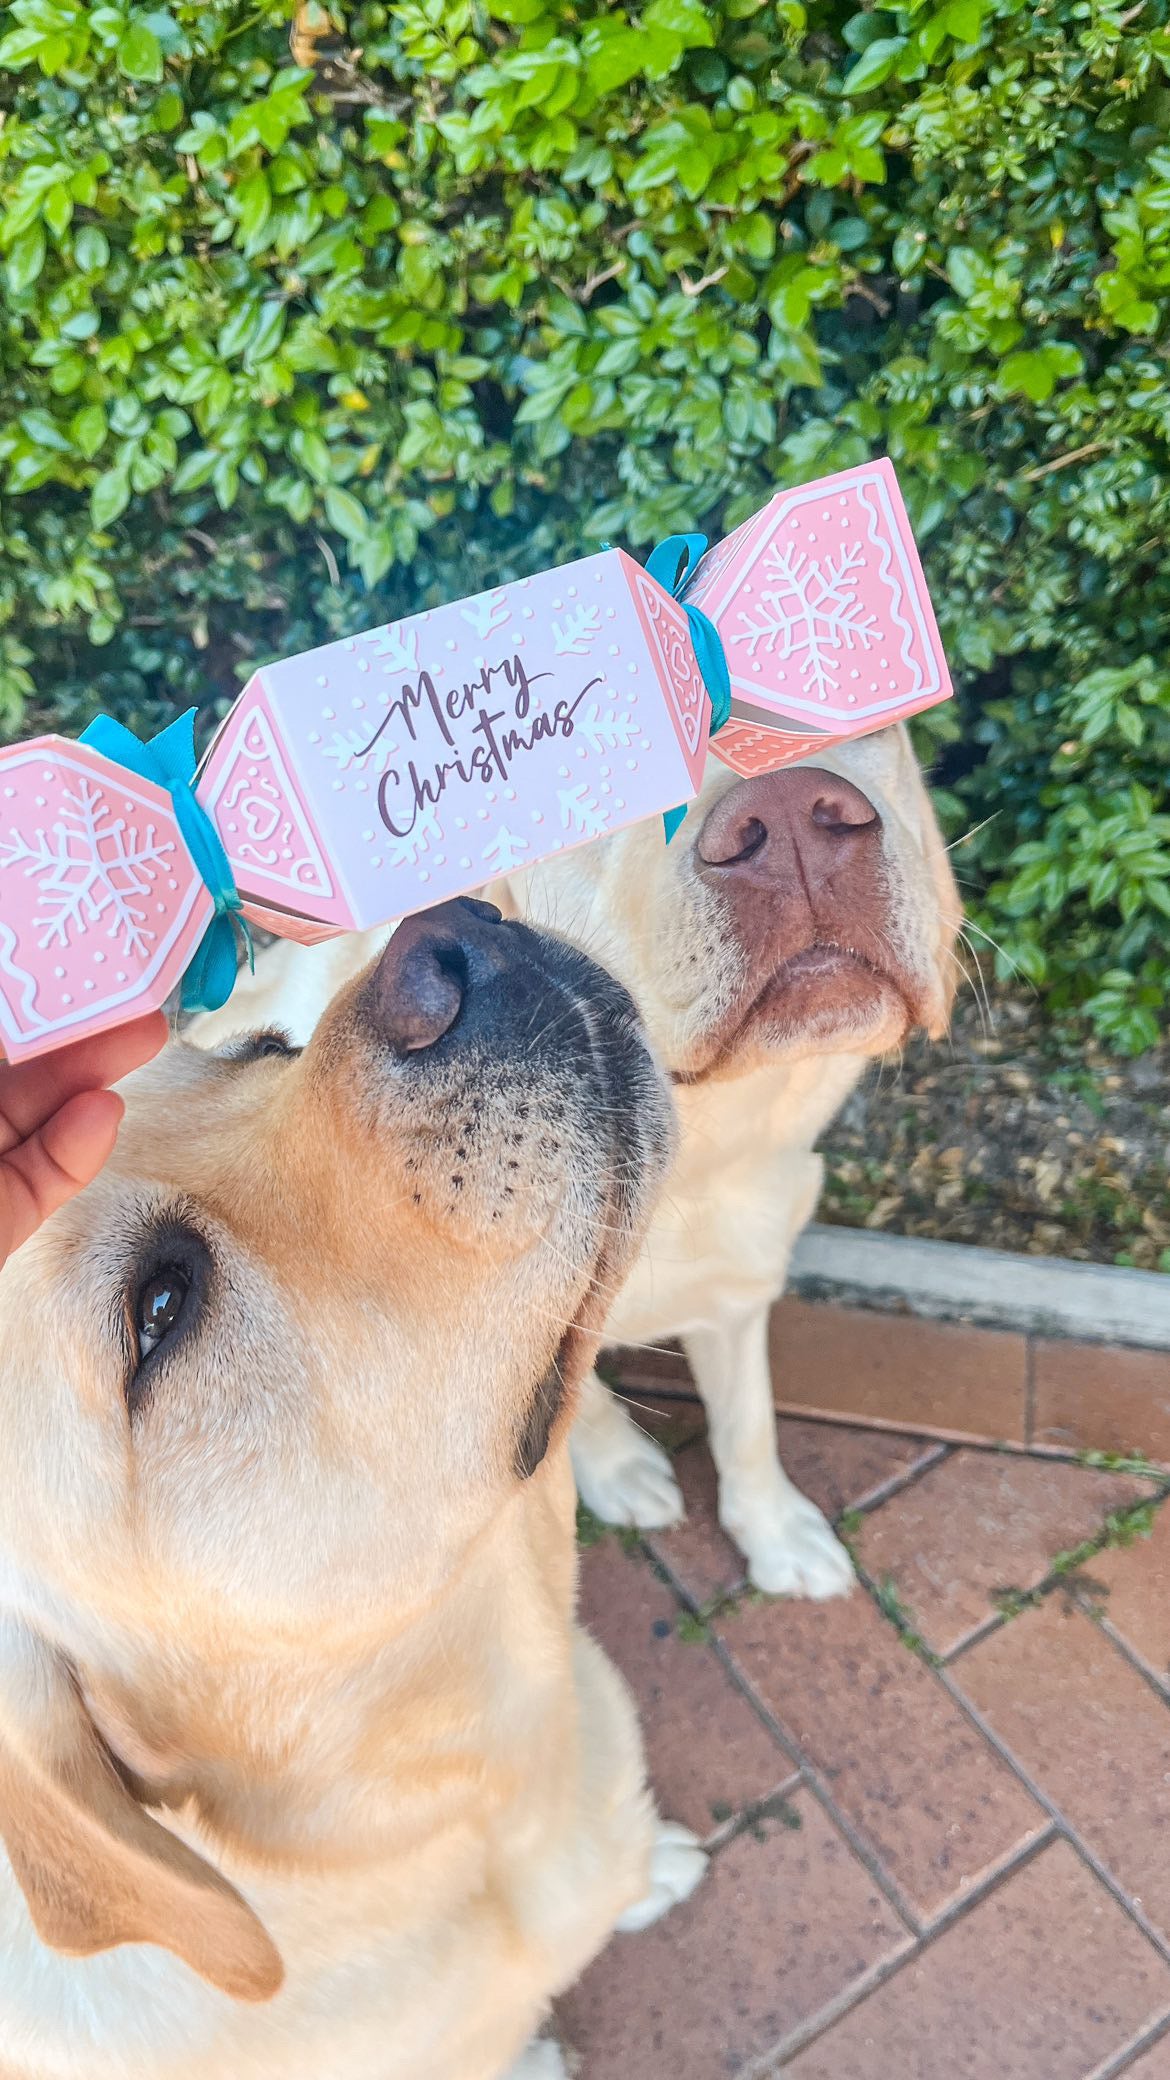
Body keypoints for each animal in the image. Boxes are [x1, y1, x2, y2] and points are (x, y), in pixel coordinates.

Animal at [195, 728, 957, 1589]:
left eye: (870, 724)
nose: (792, 814)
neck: (698, 1162)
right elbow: (578, 1396)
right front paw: (619, 1467)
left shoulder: (739, 1285)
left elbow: (749, 1422)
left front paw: (773, 1530)